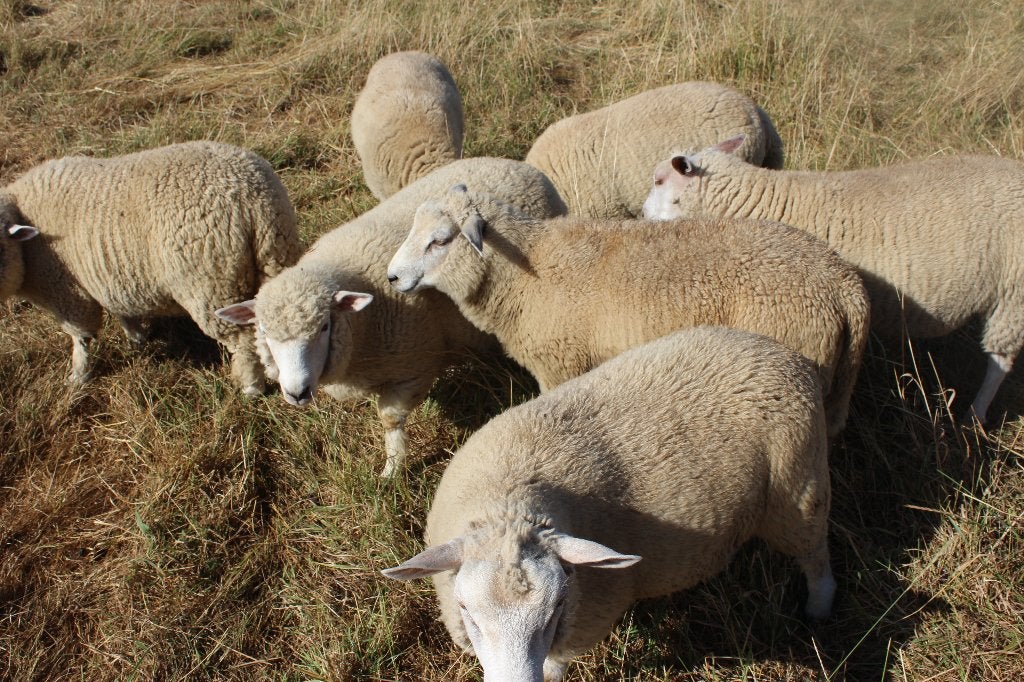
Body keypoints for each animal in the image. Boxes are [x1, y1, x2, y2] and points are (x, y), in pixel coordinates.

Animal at [0, 140, 301, 394]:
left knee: (242, 340)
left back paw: (251, 388)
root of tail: (254, 201)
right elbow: (123, 310)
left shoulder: (66, 291)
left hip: (212, 283)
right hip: (277, 255)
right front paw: (136, 338)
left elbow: (80, 337)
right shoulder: (111, 277)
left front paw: (78, 377)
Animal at [216, 157, 567, 477]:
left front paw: (392, 471)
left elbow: (391, 419)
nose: (296, 393)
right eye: (264, 332)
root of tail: (521, 166)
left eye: (324, 326)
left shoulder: (414, 366)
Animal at [383, 325, 836, 681]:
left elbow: (554, 666)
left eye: (557, 607)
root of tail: (785, 354)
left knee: (816, 556)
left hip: (799, 490)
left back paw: (819, 609)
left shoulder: (582, 620)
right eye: (465, 610)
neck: (508, 496)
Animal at [642, 136, 1024, 423]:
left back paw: (975, 417)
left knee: (1000, 361)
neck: (766, 200)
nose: (642, 214)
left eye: (659, 180)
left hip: (1014, 291)